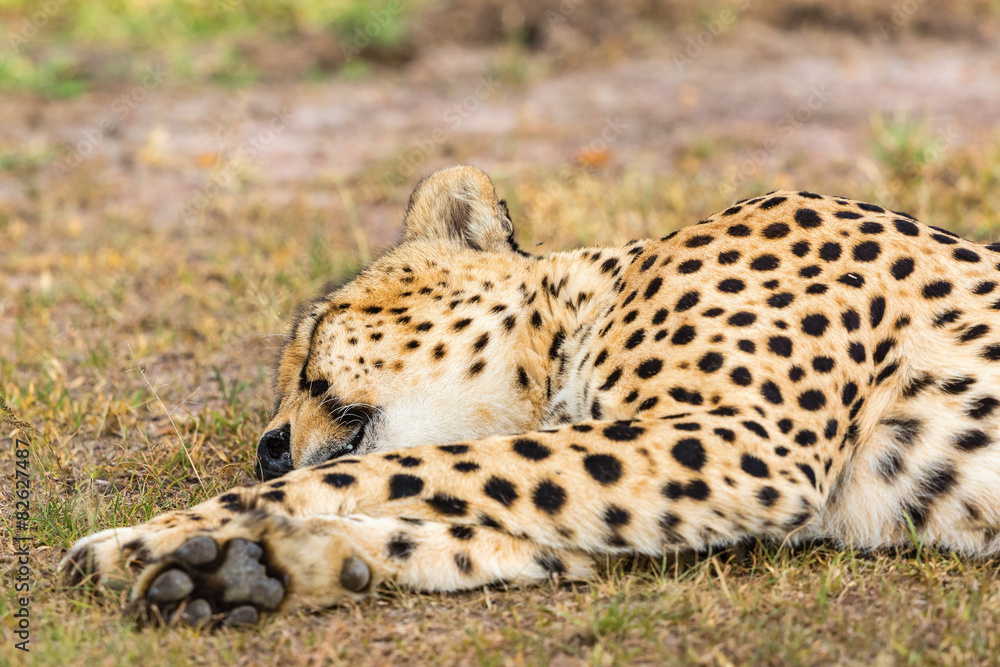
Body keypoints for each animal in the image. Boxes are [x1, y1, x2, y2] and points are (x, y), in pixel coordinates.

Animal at [62, 165, 1000, 628]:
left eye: (316, 331)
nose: (266, 443)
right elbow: (449, 529)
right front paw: (238, 567)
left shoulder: (741, 444)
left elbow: (394, 470)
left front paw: (157, 534)